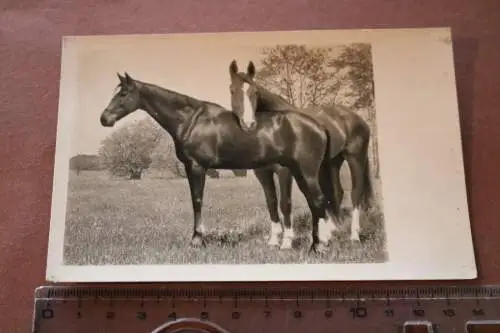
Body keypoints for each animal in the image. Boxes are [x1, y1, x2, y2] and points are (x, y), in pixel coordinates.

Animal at [98, 72, 336, 252]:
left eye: (124, 93)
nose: (104, 119)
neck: (190, 120)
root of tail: (319, 126)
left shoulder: (196, 167)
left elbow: (197, 201)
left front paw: (197, 240)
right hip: (298, 172)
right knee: (313, 203)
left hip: (305, 172)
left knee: (317, 201)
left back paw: (317, 247)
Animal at [229, 59, 374, 248]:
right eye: (232, 90)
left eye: (255, 92)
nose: (249, 124)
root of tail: (356, 118)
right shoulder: (263, 173)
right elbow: (271, 202)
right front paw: (274, 240)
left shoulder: (284, 171)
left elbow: (285, 203)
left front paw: (286, 242)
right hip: (332, 163)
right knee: (336, 193)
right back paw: (332, 231)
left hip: (355, 158)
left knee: (356, 193)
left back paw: (354, 235)